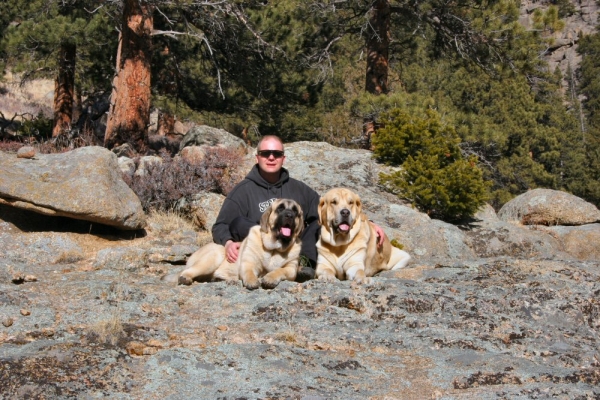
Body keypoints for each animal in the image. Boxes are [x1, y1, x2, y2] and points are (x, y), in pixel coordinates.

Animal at [173, 198, 304, 290]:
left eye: (295, 211)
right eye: (280, 208)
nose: (289, 215)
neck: (274, 249)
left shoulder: (291, 269)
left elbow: (280, 270)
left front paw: (270, 278)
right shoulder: (249, 263)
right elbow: (249, 272)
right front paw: (252, 281)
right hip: (214, 256)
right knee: (186, 271)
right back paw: (185, 278)